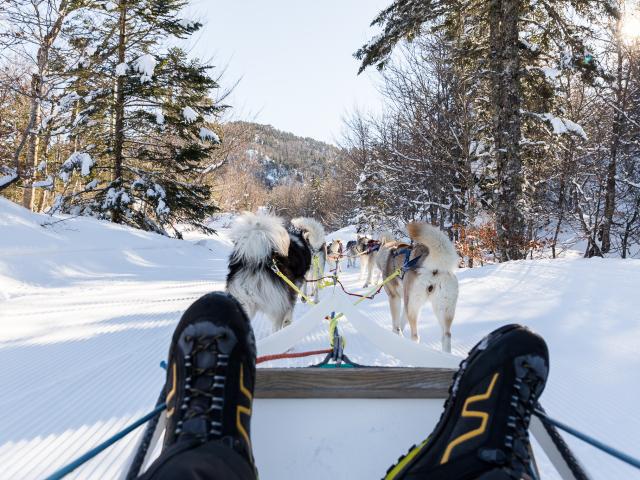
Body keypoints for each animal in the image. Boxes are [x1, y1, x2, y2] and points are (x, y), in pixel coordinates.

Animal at [376, 222, 460, 352]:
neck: (389, 252)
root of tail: (433, 265)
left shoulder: (394, 298)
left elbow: (396, 325)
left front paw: (397, 335)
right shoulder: (405, 301)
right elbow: (401, 322)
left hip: (413, 307)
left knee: (415, 336)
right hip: (443, 309)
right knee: (446, 335)